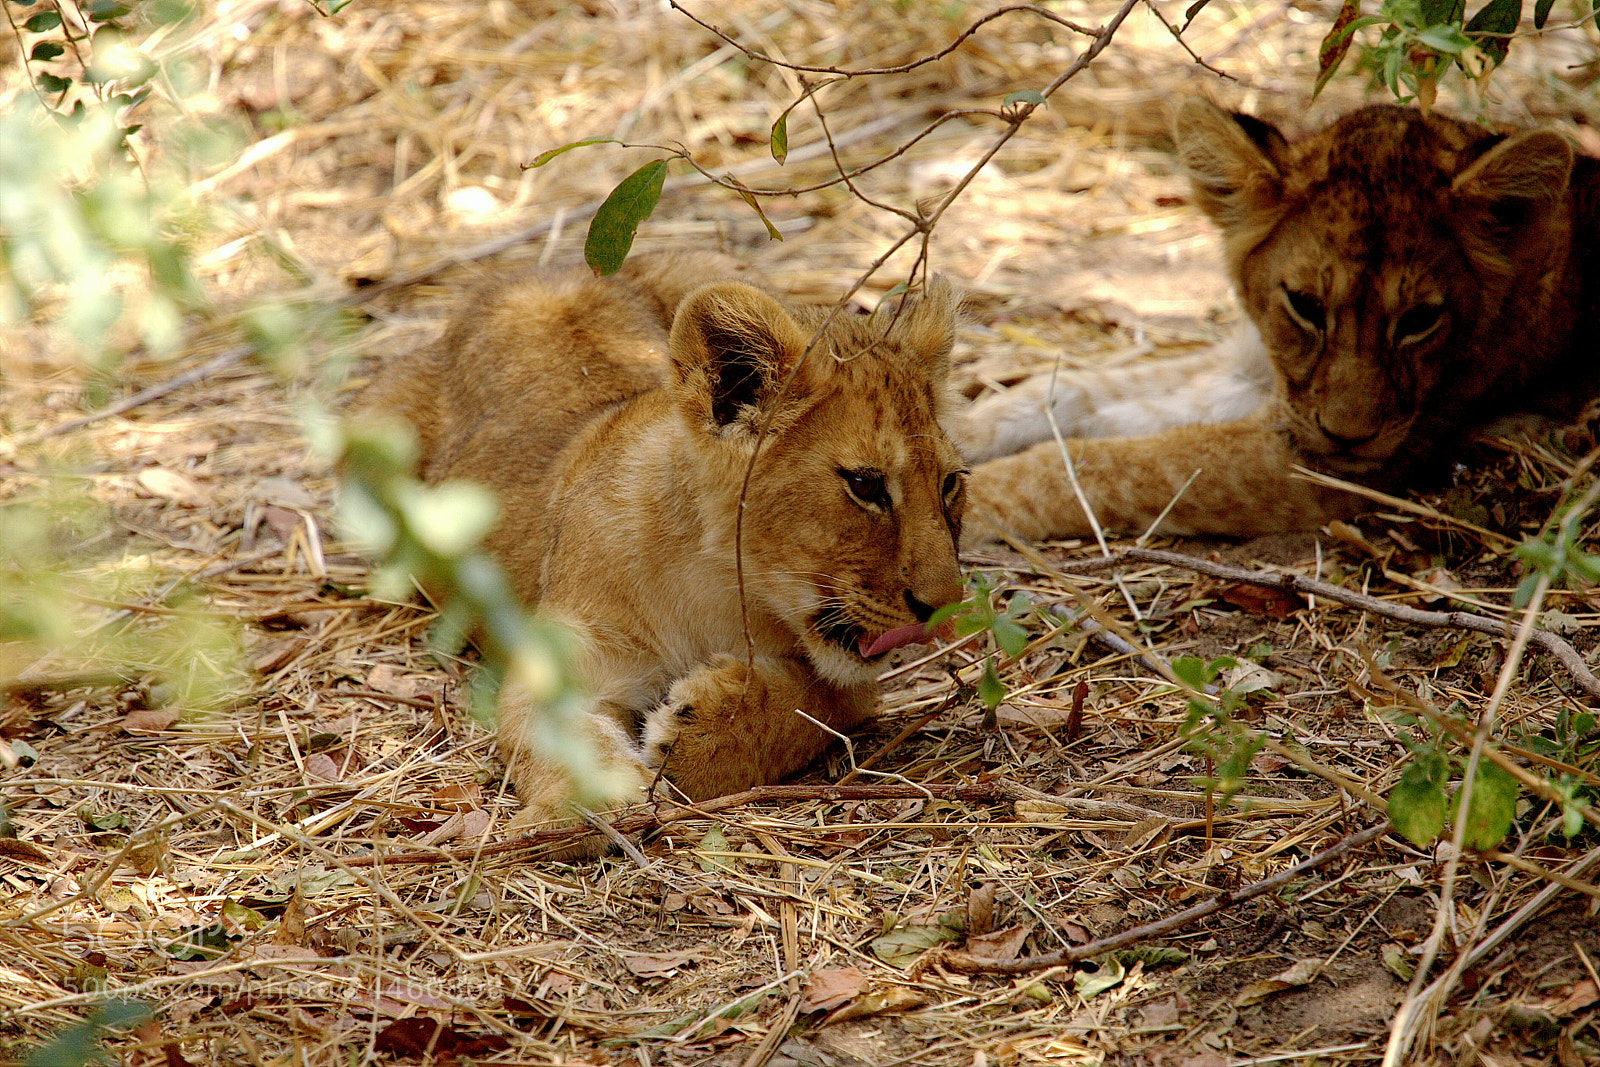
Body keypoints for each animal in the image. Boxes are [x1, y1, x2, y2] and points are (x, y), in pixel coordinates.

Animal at [359, 254, 967, 845]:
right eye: (864, 485)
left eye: (949, 485)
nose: (945, 606)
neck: (717, 587)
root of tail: (544, 269)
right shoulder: (557, 658)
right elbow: (563, 737)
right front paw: (581, 809)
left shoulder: (852, 684)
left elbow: (818, 702)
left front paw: (702, 734)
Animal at [960, 99, 1599, 542]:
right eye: (1306, 305)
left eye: (1420, 319)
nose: (1348, 436)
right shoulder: (1252, 372)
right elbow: (1072, 391)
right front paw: (952, 438)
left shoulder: (1322, 471)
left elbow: (1108, 468)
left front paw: (961, 511)